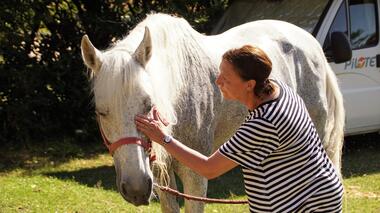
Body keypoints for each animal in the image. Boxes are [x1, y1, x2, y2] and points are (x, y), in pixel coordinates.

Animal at [81, 13, 344, 213]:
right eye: (101, 112)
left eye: (149, 105)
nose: (136, 189)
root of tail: (312, 44)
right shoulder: (160, 174)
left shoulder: (195, 176)